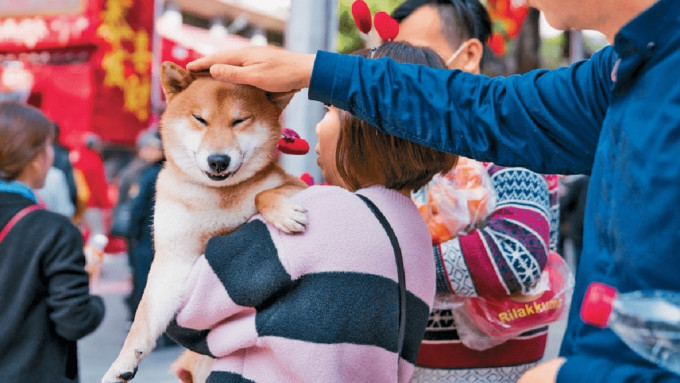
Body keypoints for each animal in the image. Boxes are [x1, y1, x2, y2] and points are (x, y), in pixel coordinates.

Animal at [102, 61, 306, 382]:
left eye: (239, 121)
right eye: (200, 119)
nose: (218, 160)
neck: (217, 198)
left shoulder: (298, 186)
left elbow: (264, 193)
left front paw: (284, 213)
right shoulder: (173, 260)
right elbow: (143, 317)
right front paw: (121, 363)